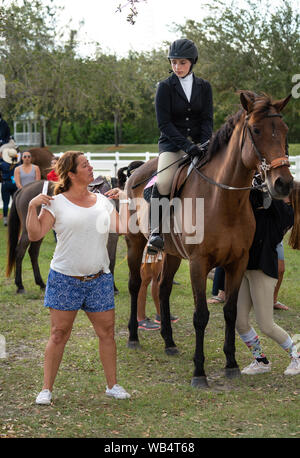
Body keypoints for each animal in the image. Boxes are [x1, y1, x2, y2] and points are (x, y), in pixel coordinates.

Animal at [123, 89, 292, 386]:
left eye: (284, 131)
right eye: (256, 130)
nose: (283, 183)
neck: (222, 200)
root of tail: (136, 172)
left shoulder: (237, 263)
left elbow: (231, 311)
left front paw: (231, 364)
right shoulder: (199, 264)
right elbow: (201, 315)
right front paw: (199, 372)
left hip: (172, 254)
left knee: (163, 288)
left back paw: (169, 343)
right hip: (136, 244)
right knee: (135, 285)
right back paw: (133, 336)